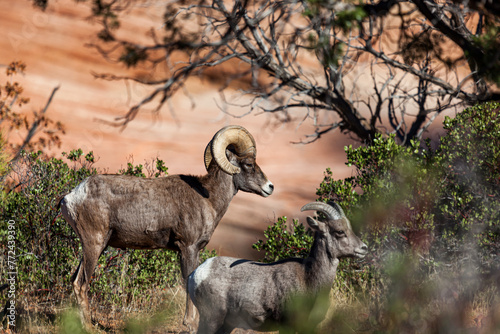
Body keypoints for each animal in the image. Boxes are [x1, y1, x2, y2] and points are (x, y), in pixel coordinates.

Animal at [60, 125, 276, 328]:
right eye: (249, 164)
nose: (270, 187)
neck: (208, 199)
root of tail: (70, 197)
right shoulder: (188, 248)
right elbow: (189, 282)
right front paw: (189, 324)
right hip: (94, 244)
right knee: (81, 283)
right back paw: (88, 327)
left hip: (96, 246)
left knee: (74, 280)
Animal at [188, 201, 368, 334]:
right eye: (339, 231)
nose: (364, 248)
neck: (308, 278)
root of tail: (196, 274)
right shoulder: (287, 326)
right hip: (211, 320)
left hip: (226, 325)